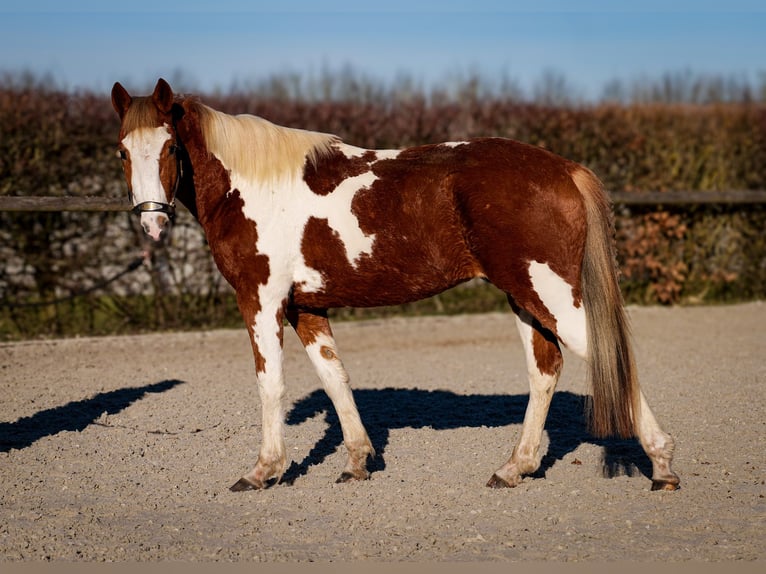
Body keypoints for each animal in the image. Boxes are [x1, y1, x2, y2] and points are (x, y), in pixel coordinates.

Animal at [111, 79, 680, 492]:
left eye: (169, 146)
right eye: (121, 151)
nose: (152, 221)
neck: (252, 186)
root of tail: (564, 169)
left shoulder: (261, 299)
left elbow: (270, 384)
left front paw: (263, 471)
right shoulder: (304, 308)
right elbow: (335, 378)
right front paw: (358, 461)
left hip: (550, 292)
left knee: (603, 357)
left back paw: (662, 465)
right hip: (525, 296)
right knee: (545, 370)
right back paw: (514, 468)